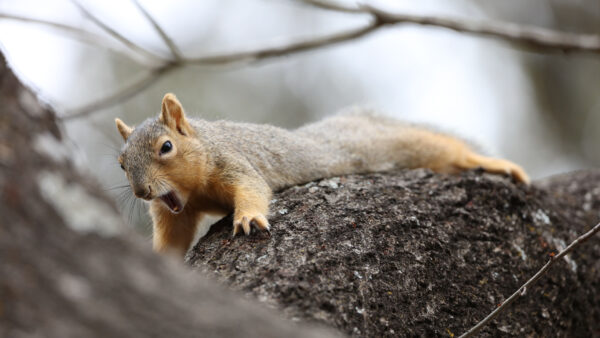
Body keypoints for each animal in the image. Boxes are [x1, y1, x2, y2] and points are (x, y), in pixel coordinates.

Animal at [115, 92, 528, 256]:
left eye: (166, 147)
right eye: (121, 162)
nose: (142, 191)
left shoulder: (233, 162)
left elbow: (252, 189)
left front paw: (248, 218)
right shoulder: (174, 212)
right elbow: (174, 236)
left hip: (395, 145)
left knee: (446, 150)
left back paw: (496, 163)